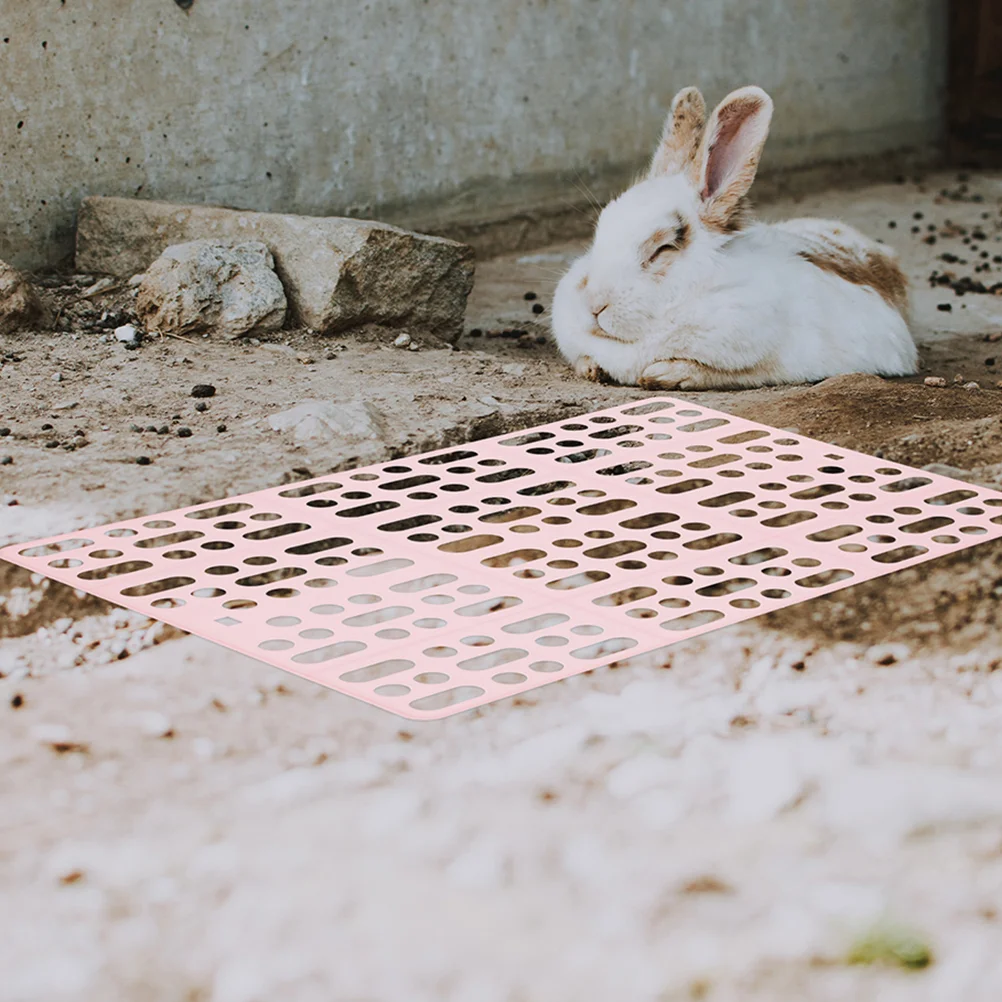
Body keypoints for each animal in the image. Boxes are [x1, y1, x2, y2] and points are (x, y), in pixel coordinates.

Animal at [553, 84, 917, 388]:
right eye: (601, 230)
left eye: (662, 249)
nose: (594, 305)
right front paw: (591, 367)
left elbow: (722, 370)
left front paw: (665, 374)